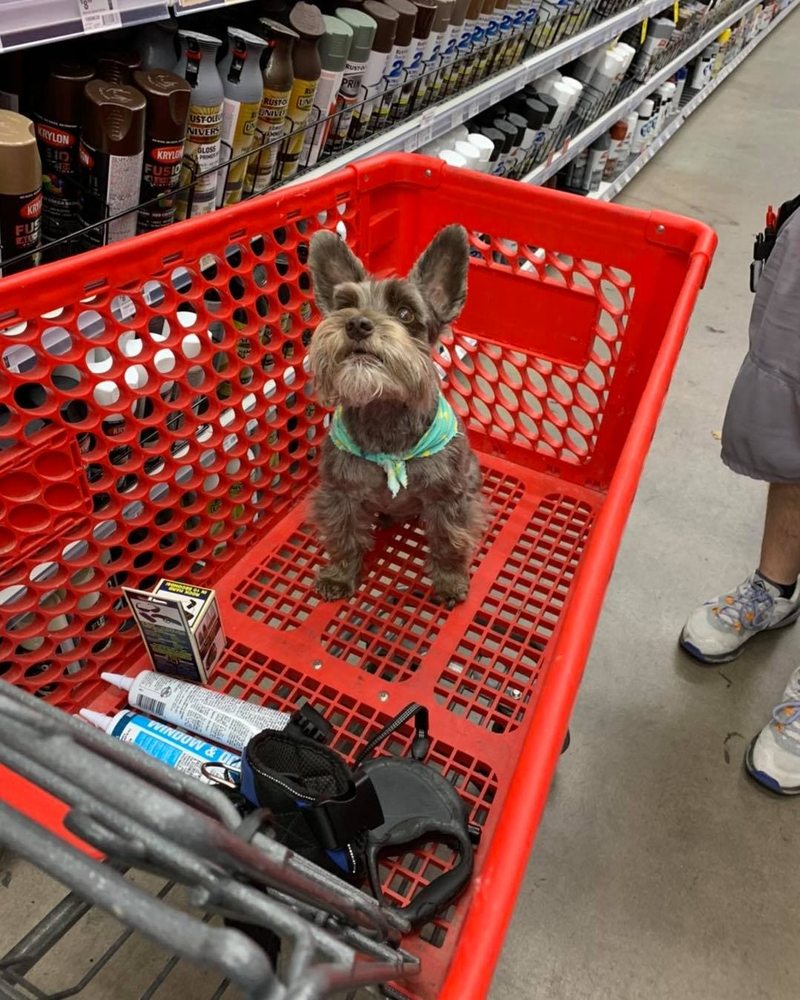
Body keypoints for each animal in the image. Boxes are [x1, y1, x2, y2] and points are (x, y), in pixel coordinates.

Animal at [306, 224, 486, 608]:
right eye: (345, 305)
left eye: (405, 313)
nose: (357, 324)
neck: (384, 412)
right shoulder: (341, 494)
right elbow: (344, 538)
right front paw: (339, 576)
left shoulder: (448, 499)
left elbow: (448, 542)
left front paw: (450, 582)